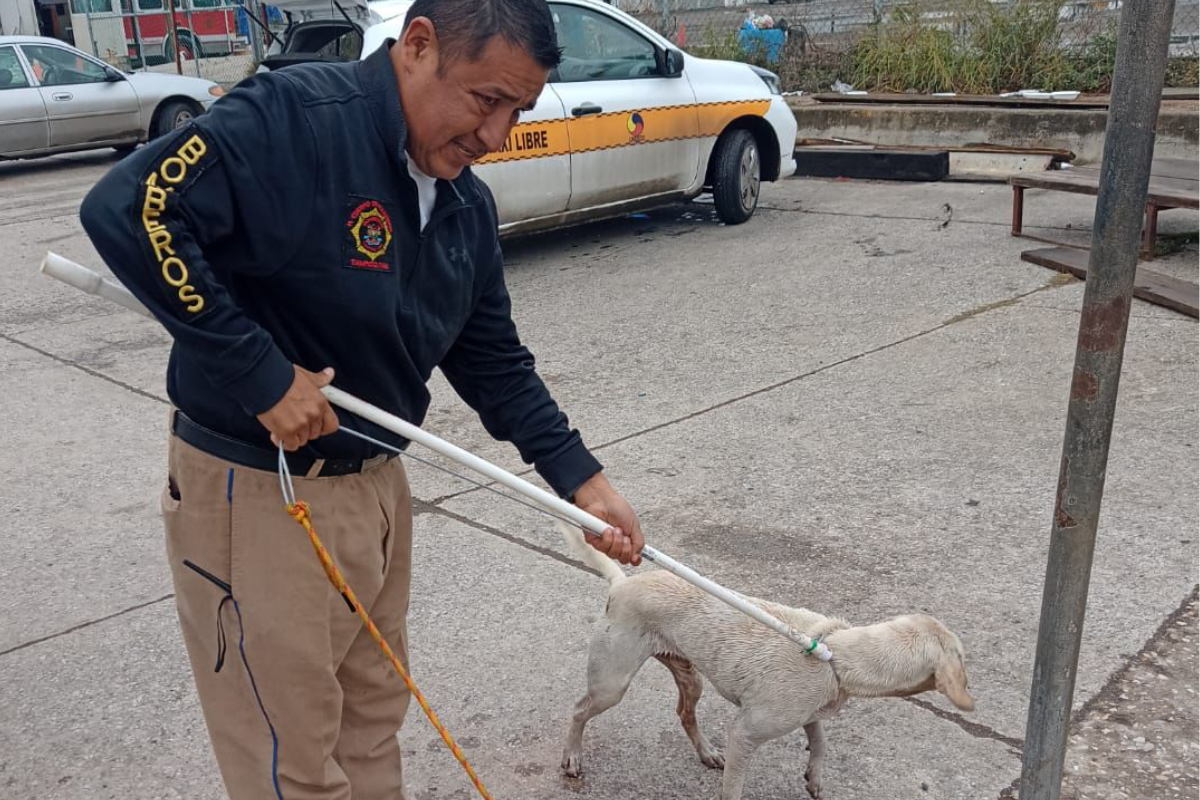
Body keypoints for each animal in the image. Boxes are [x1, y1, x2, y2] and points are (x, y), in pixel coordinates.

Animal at [559, 522, 974, 796]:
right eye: (964, 661)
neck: (834, 656)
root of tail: (622, 583)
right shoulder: (745, 734)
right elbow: (734, 789)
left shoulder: (808, 714)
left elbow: (820, 742)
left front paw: (814, 776)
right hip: (611, 684)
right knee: (578, 710)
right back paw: (572, 758)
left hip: (691, 677)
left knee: (685, 714)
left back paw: (707, 752)